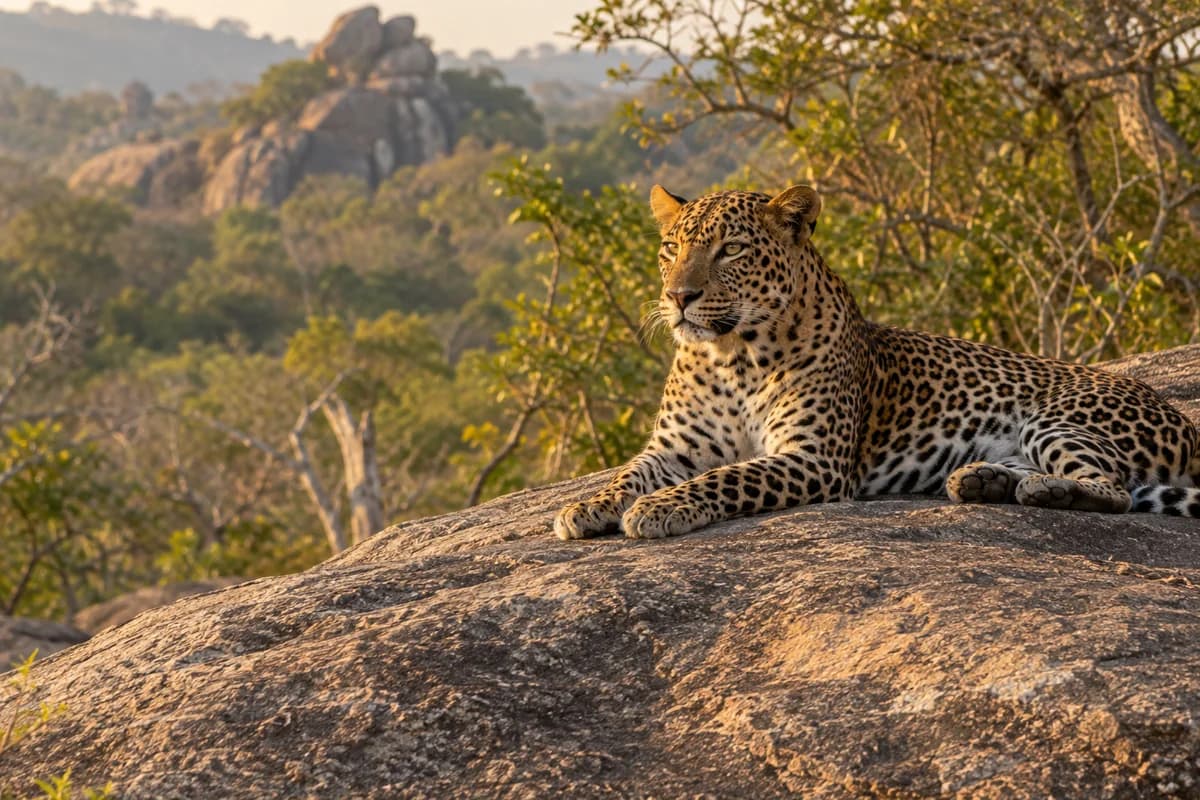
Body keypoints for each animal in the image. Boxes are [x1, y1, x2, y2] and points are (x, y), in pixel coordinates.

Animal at [554, 183, 1200, 540]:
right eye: (671, 248)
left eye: (730, 250)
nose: (679, 296)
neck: (729, 356)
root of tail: (1186, 425)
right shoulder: (676, 449)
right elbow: (627, 474)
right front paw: (587, 505)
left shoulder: (812, 458)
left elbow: (729, 476)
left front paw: (660, 508)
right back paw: (983, 480)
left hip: (1056, 419)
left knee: (1112, 489)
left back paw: (1044, 492)